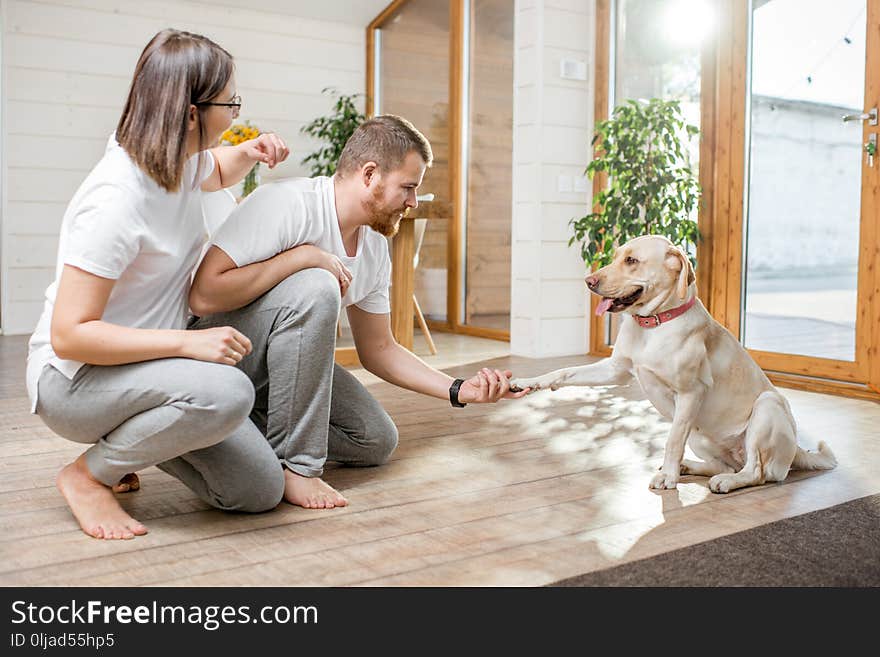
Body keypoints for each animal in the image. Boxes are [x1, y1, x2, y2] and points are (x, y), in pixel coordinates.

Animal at [506, 236, 836, 492]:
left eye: (632, 260)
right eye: (615, 256)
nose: (589, 281)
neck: (653, 324)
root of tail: (797, 451)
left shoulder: (691, 393)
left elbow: (672, 440)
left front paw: (667, 478)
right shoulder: (615, 370)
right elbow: (562, 372)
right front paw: (526, 382)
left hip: (767, 407)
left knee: (757, 471)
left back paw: (722, 481)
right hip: (701, 435)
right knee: (726, 465)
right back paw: (690, 467)